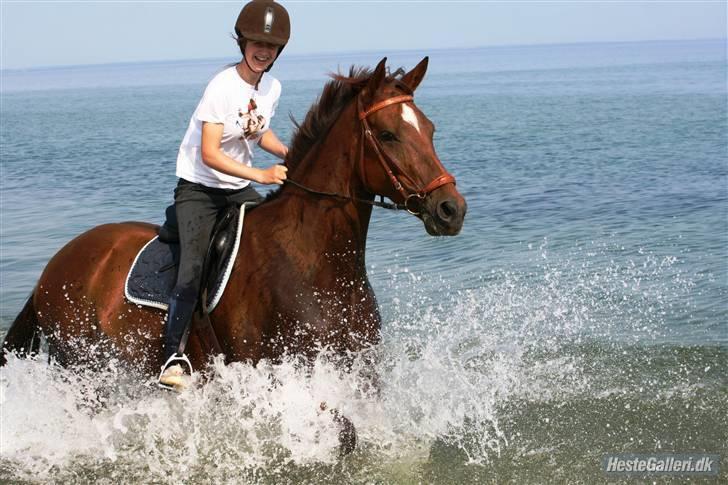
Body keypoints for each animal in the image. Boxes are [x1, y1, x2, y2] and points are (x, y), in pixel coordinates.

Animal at [0, 57, 466, 374]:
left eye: (430, 129)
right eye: (387, 135)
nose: (451, 209)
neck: (314, 258)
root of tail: (52, 268)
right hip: (87, 369)